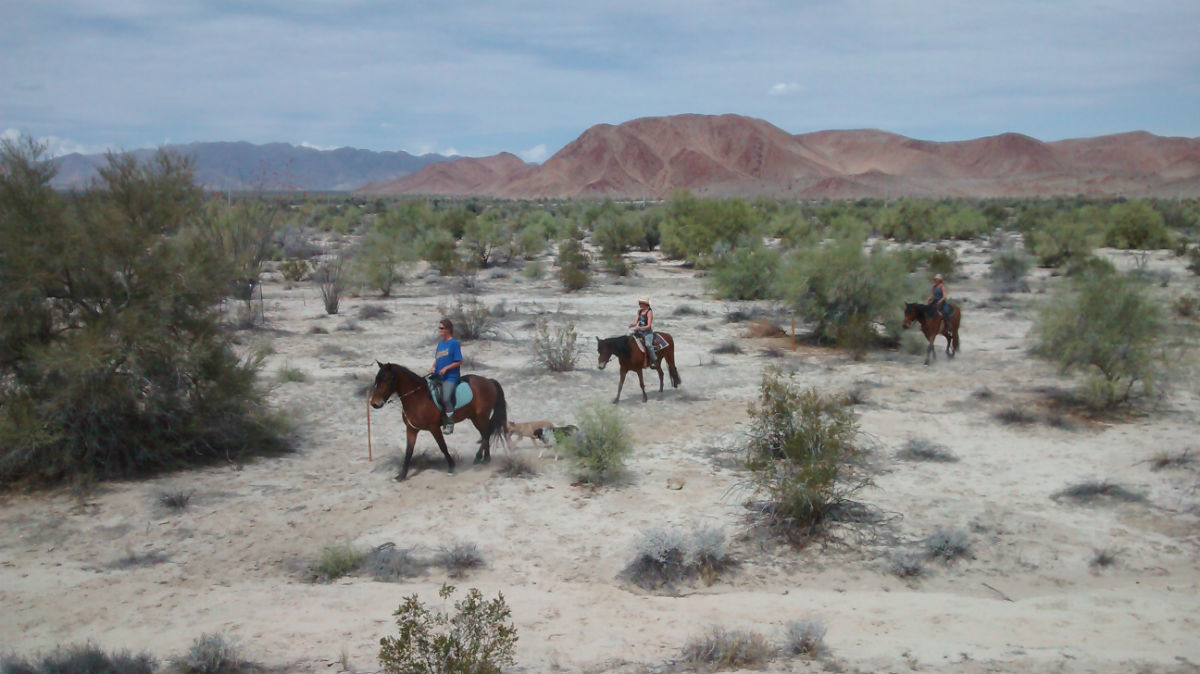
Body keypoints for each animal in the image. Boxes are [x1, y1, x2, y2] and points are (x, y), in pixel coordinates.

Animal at [369, 362, 511, 477]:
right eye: (376, 379)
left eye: (387, 379)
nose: (374, 403)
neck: (417, 397)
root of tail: (489, 381)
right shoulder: (411, 429)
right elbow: (409, 451)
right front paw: (401, 476)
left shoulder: (434, 427)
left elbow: (442, 446)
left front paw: (452, 467)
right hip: (475, 418)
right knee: (486, 433)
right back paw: (485, 458)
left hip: (481, 416)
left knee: (486, 433)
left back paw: (479, 458)